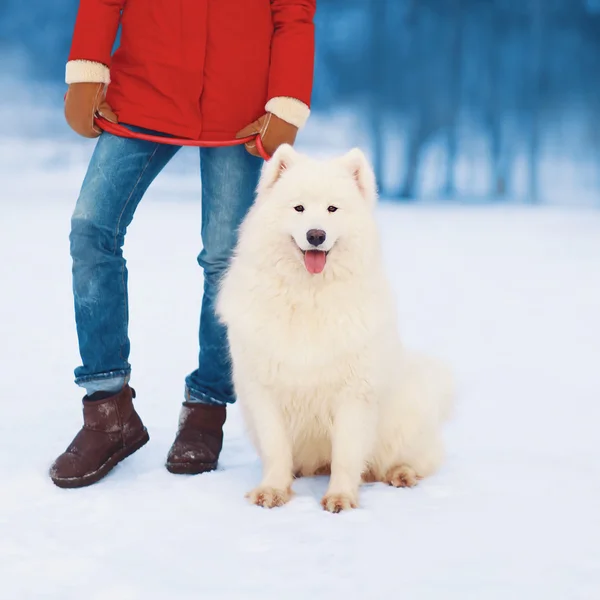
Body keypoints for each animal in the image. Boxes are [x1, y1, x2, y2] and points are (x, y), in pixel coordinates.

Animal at [217, 144, 454, 510]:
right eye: (298, 207)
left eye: (332, 208)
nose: (316, 235)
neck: (308, 295)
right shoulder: (265, 392)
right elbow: (276, 450)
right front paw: (272, 490)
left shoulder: (353, 394)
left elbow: (346, 455)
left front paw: (340, 498)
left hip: (403, 424)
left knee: (414, 461)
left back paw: (401, 474)